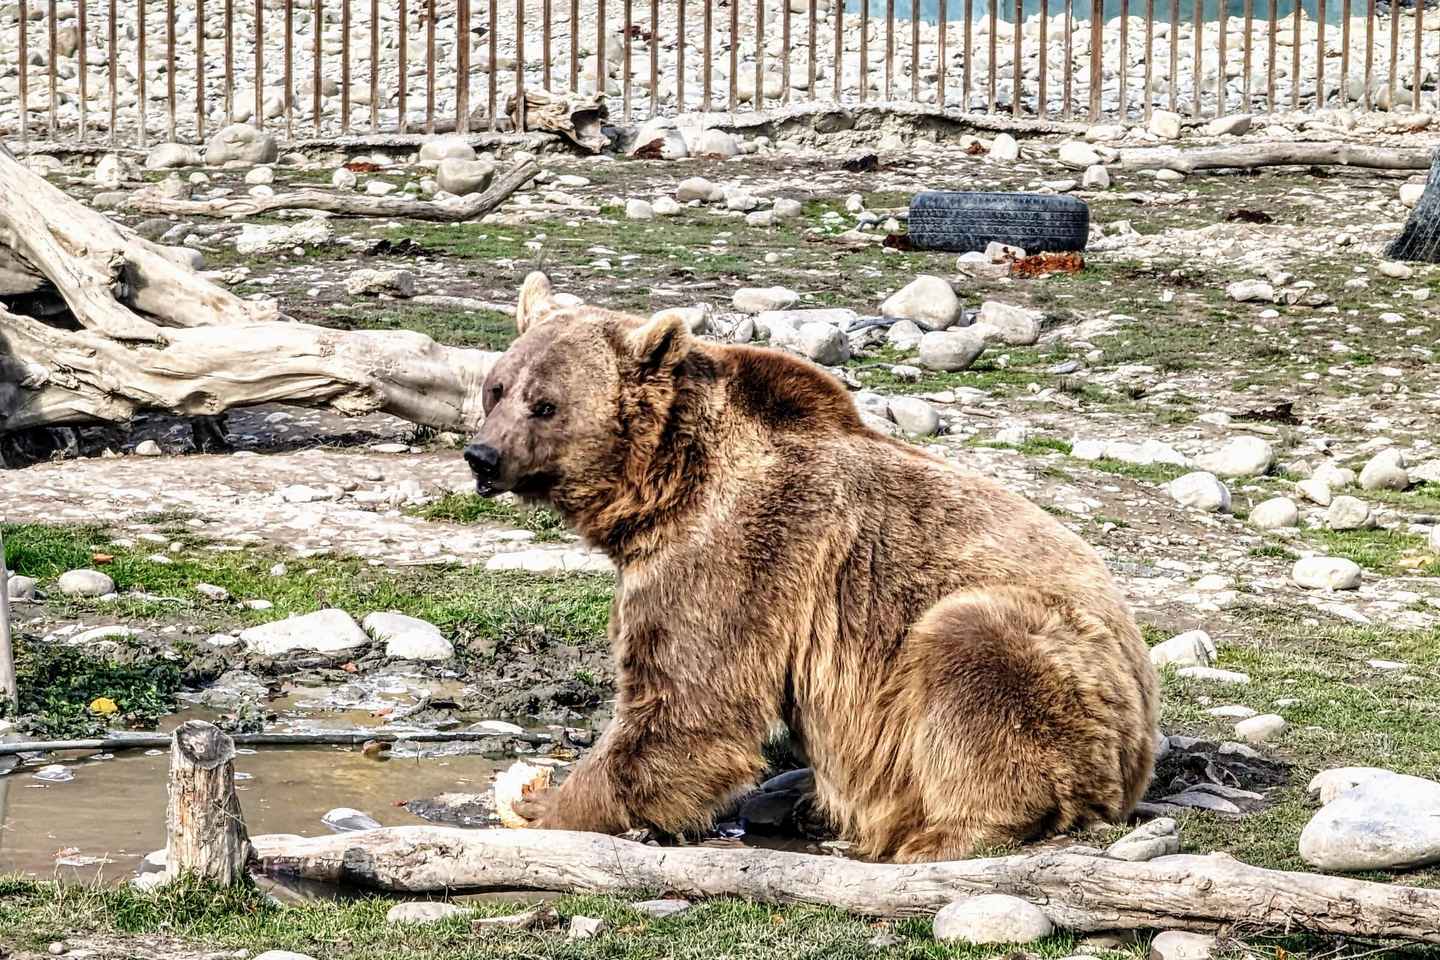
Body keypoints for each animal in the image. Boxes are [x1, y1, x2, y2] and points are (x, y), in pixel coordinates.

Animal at [464, 271, 1159, 863]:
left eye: (546, 404)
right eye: (496, 388)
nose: (482, 455)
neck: (665, 487)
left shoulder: (741, 550)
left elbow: (688, 701)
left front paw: (547, 804)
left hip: (1060, 672)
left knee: (972, 656)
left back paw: (941, 832)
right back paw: (797, 796)